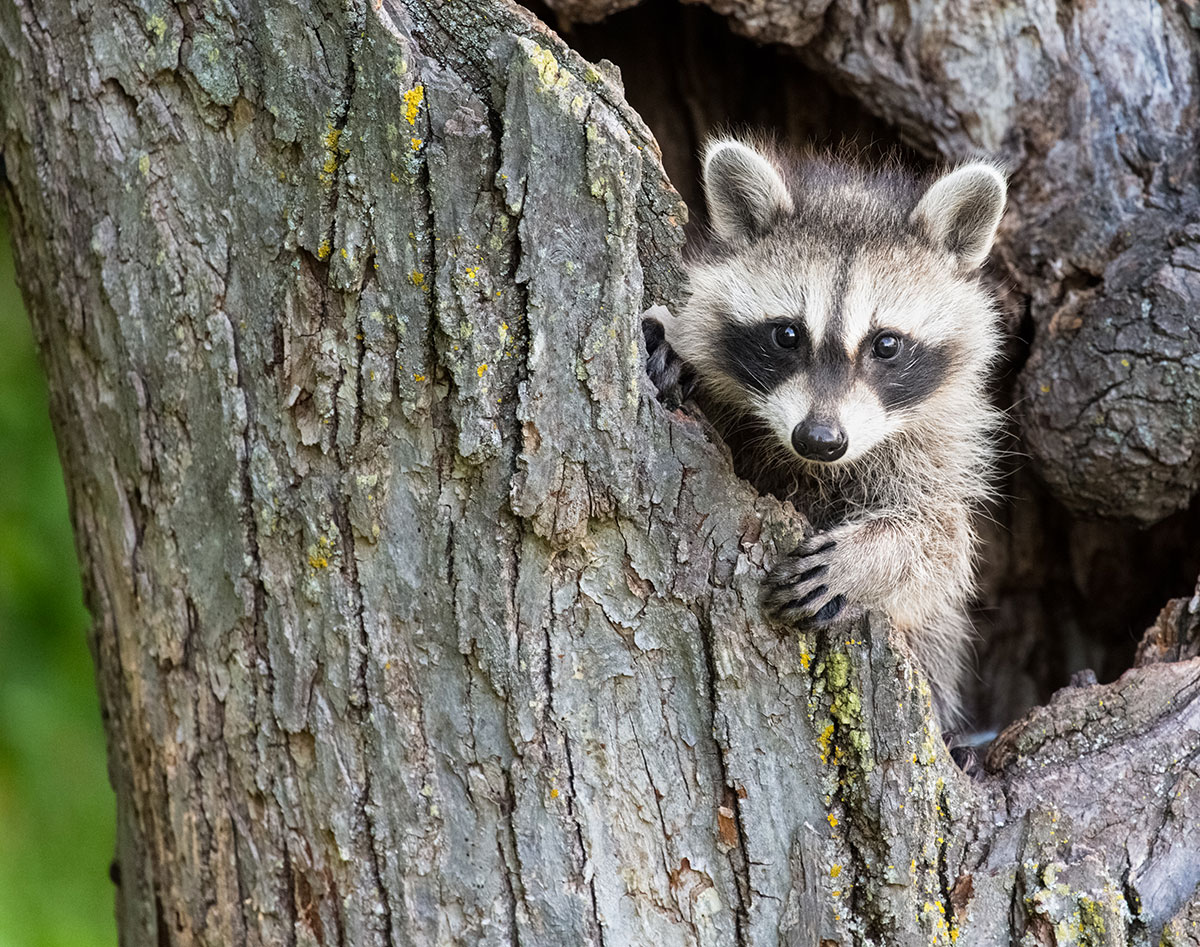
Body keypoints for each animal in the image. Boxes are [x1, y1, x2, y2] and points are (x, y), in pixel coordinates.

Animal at [648, 136, 1003, 720]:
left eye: (886, 344)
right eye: (787, 334)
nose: (819, 440)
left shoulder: (937, 446)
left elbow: (943, 544)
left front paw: (873, 558)